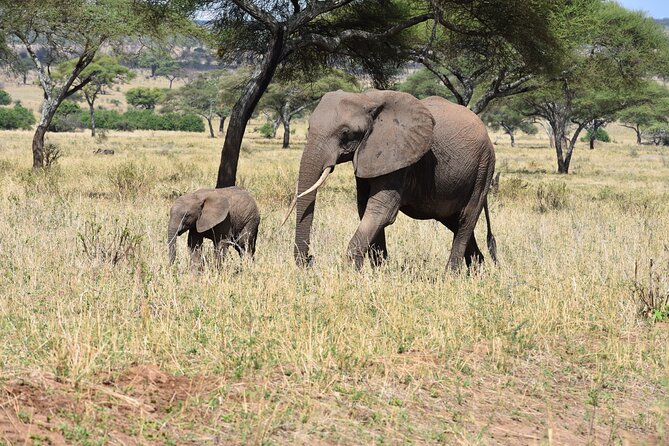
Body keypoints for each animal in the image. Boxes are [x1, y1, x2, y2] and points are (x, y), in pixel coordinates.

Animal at [287, 89, 497, 270]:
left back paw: (450, 276)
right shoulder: (369, 156)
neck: (367, 99)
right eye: (308, 128)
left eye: (346, 133)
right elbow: (365, 208)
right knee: (454, 221)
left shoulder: (399, 156)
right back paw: (476, 272)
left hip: (483, 167)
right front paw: (379, 272)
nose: (310, 259)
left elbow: (381, 210)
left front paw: (354, 274)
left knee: (466, 219)